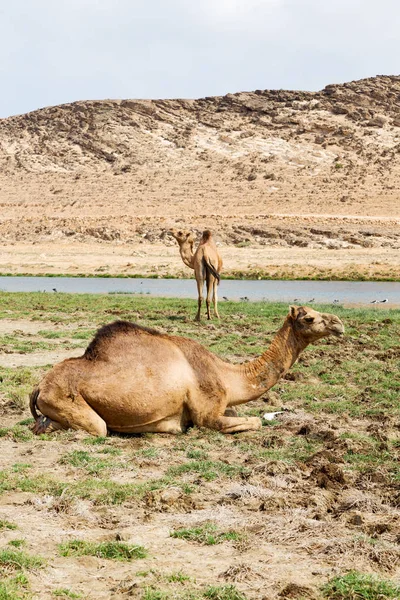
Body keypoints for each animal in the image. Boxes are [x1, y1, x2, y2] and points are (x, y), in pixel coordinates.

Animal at [30, 308, 344, 438]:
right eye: (309, 318)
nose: (339, 324)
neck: (226, 373)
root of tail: (39, 386)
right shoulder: (207, 412)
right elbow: (252, 421)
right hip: (67, 401)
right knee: (96, 428)